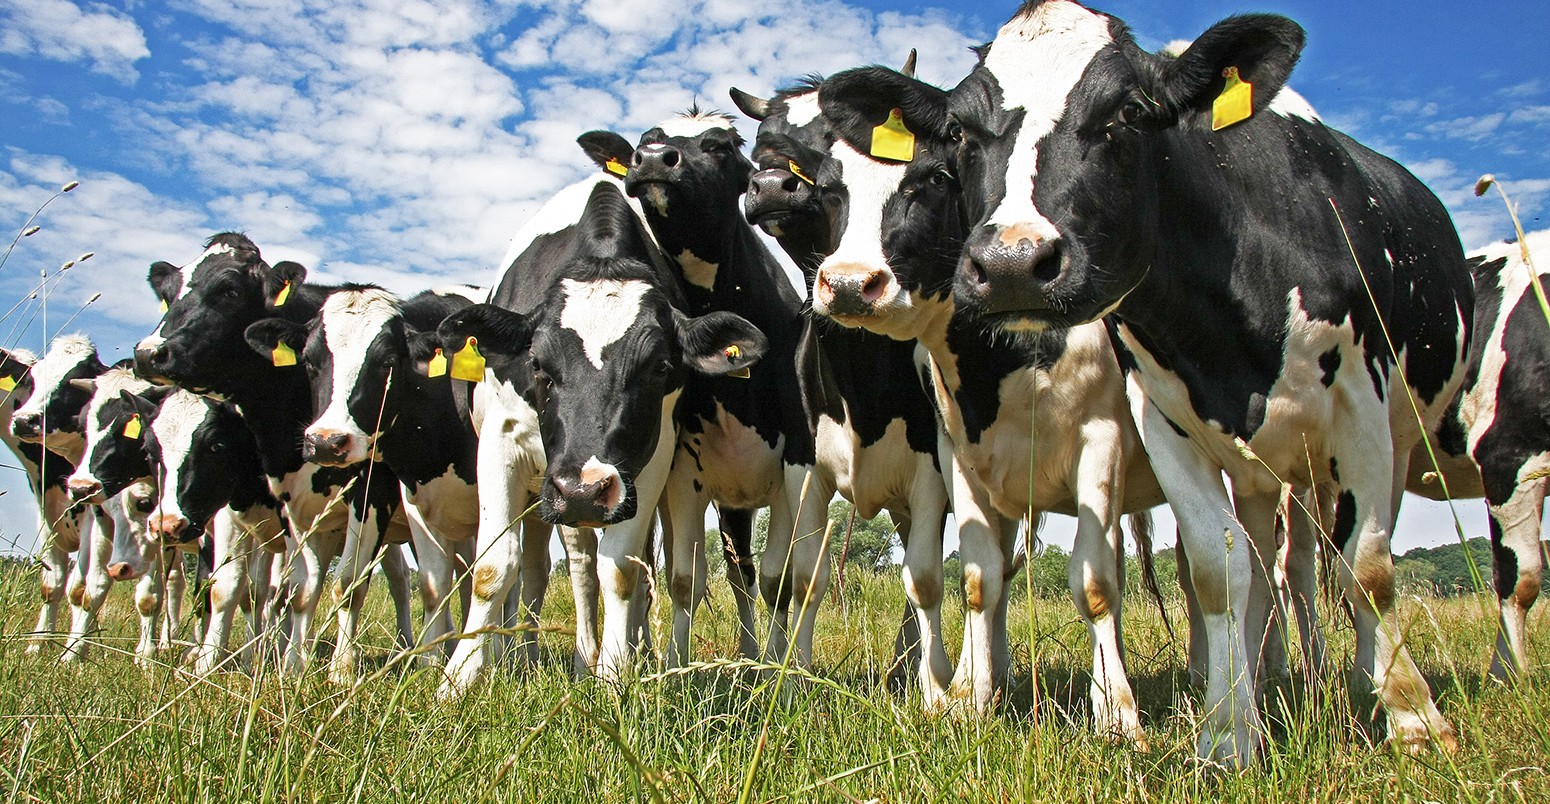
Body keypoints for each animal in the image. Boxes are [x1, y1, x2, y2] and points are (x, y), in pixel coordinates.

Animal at [134, 235, 412, 681]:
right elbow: (262, 587)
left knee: (404, 581)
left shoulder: (372, 493)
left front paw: (339, 670)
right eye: (168, 293)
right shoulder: (271, 507)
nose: (148, 354)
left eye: (229, 290)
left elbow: (346, 583)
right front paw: (252, 663)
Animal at [437, 174, 762, 697]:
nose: (584, 489)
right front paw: (460, 677)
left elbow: (623, 569)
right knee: (575, 566)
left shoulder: (651, 461)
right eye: (537, 364)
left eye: (660, 366)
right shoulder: (501, 442)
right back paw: (572, 659)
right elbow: (492, 567)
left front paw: (614, 675)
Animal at [725, 80, 954, 706]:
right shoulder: (804, 468)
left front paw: (936, 691)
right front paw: (793, 680)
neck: (861, 379)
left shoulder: (932, 472)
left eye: (827, 138)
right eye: (762, 146)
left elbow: (926, 578)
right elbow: (804, 575)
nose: (771, 186)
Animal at [936, 1, 1469, 768]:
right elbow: (1220, 575)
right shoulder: (1163, 421)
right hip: (1253, 474)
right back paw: (1253, 679)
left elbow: (1367, 568)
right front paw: (1227, 730)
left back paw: (1356, 676)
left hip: (1382, 443)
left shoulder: (1358, 408)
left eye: (1130, 112)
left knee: (1323, 567)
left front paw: (1415, 717)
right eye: (957, 130)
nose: (1011, 263)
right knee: (1255, 568)